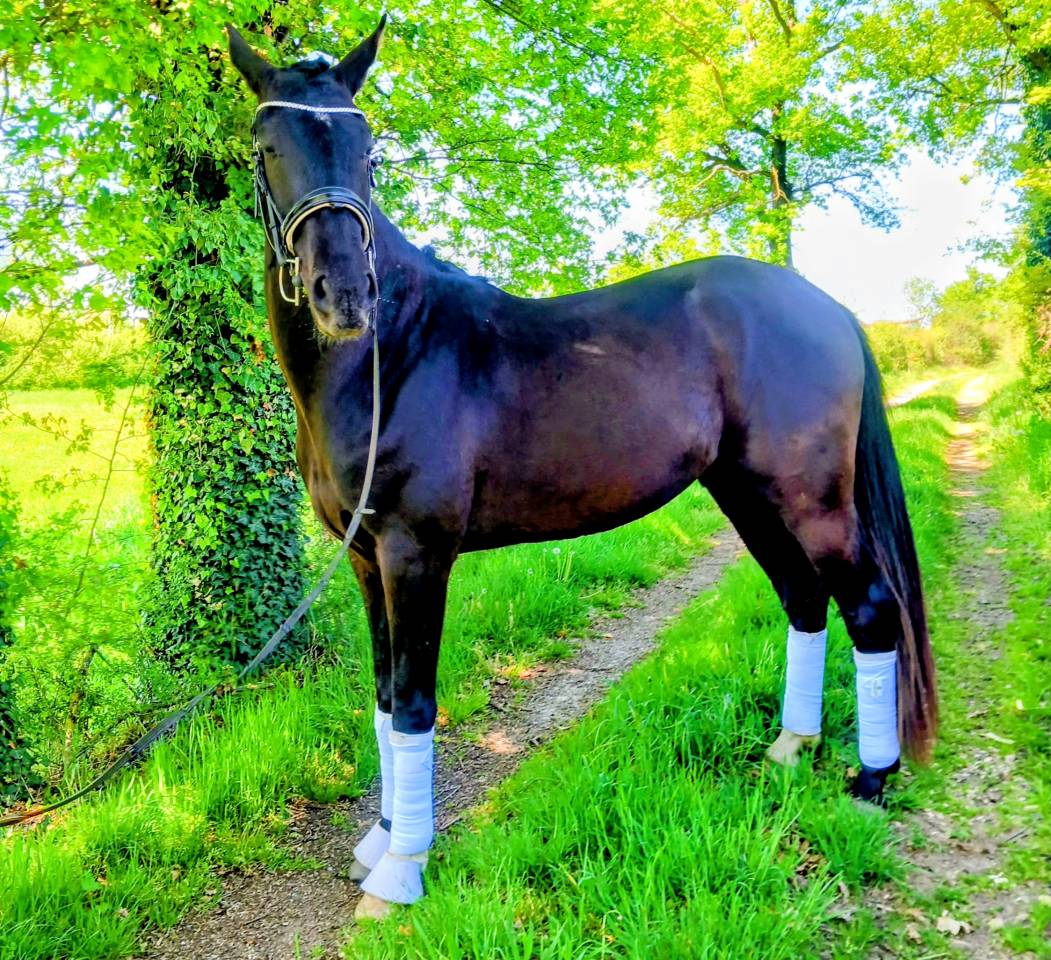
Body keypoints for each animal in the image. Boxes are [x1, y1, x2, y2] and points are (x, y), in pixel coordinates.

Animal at [228, 19, 937, 920]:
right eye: (266, 145)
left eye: (367, 149)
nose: (343, 295)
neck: (391, 354)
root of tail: (824, 305)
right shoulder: (362, 559)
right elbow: (385, 699)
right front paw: (379, 842)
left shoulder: (414, 552)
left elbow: (415, 703)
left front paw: (399, 872)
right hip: (746, 494)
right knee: (804, 600)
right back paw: (789, 748)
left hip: (812, 502)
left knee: (870, 609)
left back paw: (868, 780)